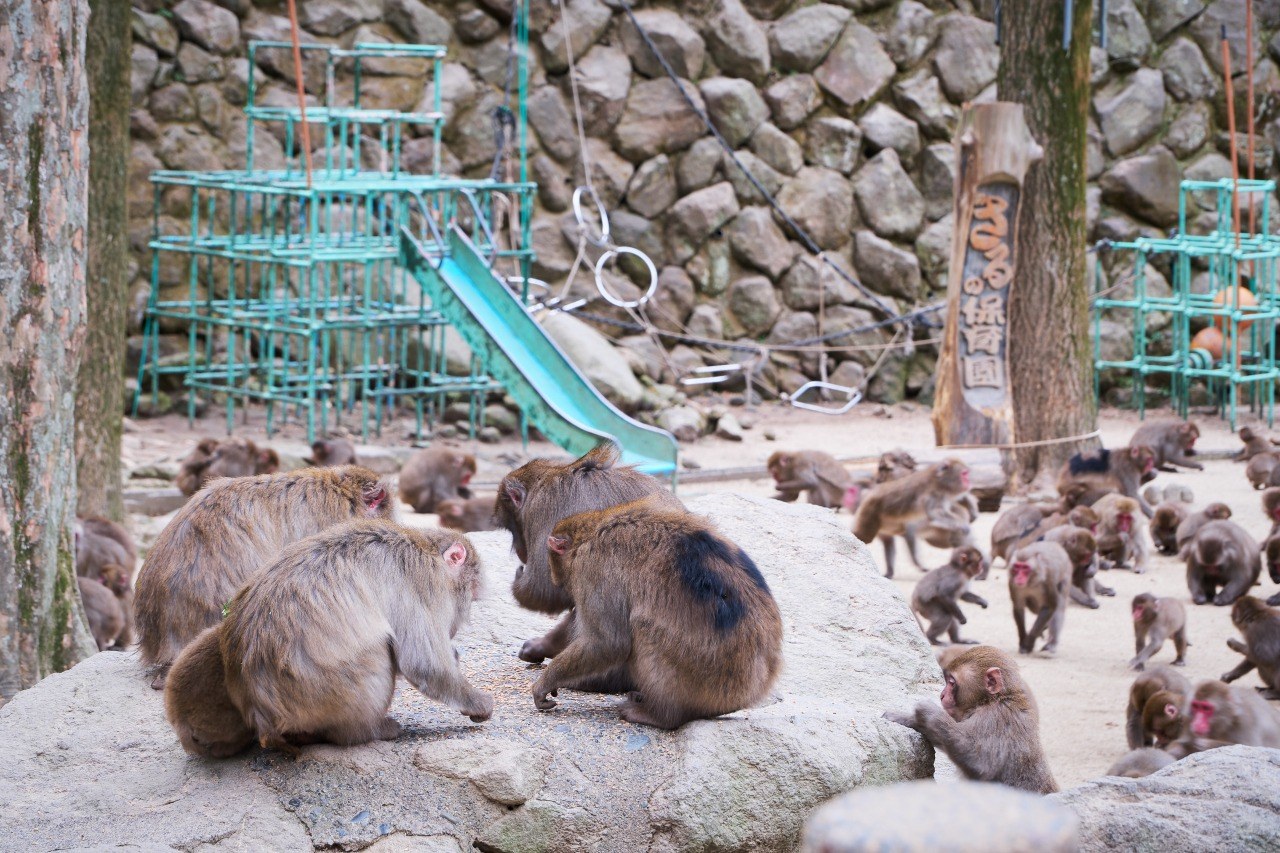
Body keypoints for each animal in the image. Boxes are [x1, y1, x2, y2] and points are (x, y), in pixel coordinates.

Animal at [220, 521, 491, 752]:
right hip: (330, 696)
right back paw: (369, 731)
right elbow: (424, 663)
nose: (457, 627)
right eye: (471, 594)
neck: (426, 549)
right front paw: (479, 703)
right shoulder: (423, 582)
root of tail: (263, 715)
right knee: (378, 655)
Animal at [538, 495, 783, 730]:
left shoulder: (592, 566)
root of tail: (757, 686)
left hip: (710, 681)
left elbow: (608, 642)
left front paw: (548, 680)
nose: (553, 578)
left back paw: (661, 716)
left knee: (642, 628)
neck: (593, 529)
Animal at [883, 645, 1057, 794]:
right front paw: (906, 718)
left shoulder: (996, 718)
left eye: (951, 682)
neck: (992, 699)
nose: (942, 695)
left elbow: (981, 763)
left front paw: (927, 711)